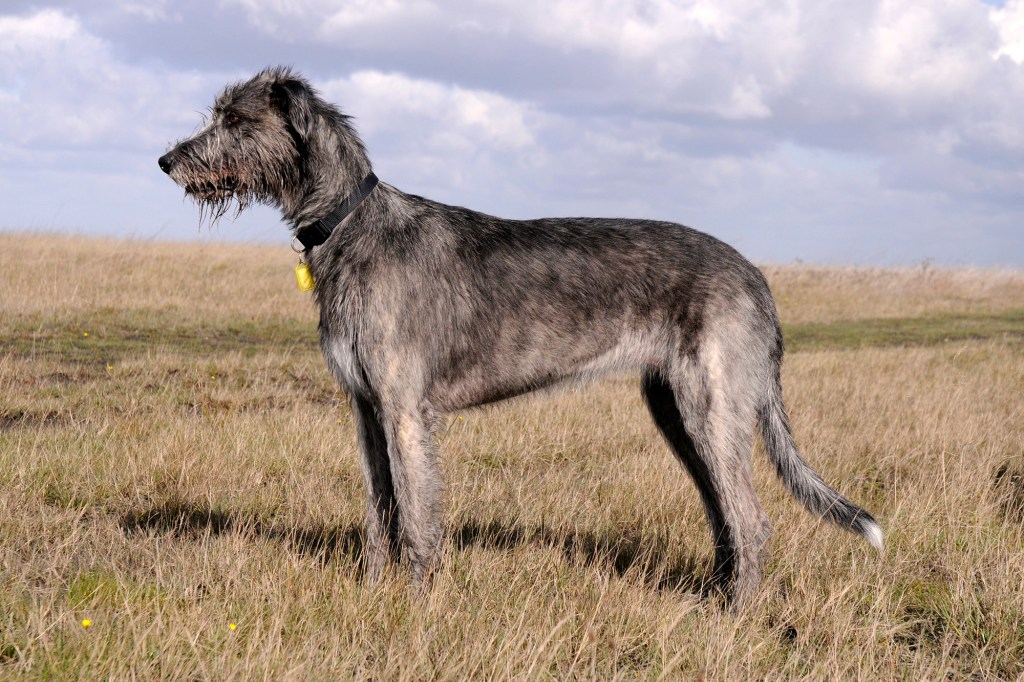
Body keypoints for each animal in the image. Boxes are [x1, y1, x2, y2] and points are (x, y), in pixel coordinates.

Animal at [157, 66, 880, 602]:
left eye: (236, 119)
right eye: (218, 113)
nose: (165, 160)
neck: (350, 224)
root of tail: (757, 277)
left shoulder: (405, 409)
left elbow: (415, 515)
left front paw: (416, 607)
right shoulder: (365, 408)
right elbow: (378, 510)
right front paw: (370, 594)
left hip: (712, 402)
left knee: (750, 520)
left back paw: (734, 617)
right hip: (677, 411)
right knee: (723, 514)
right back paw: (714, 597)